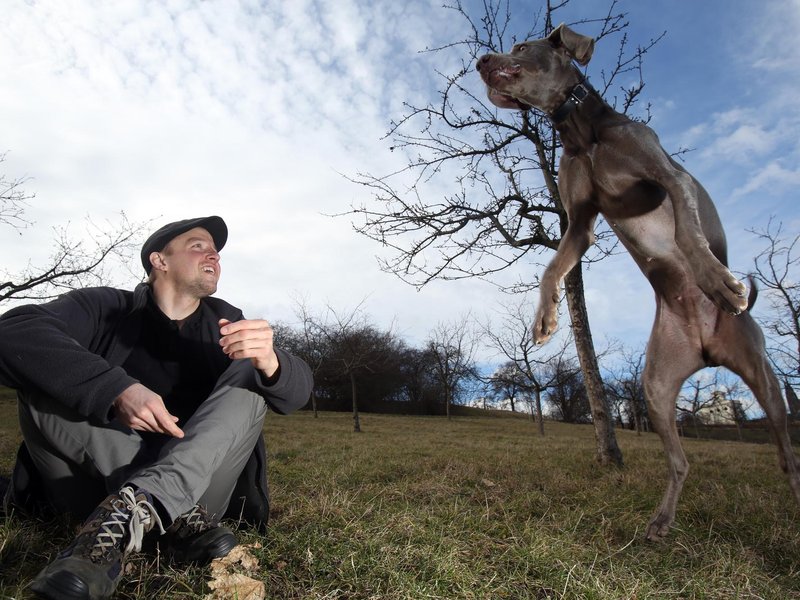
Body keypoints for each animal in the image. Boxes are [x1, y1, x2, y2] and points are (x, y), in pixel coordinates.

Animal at [476, 23, 800, 540]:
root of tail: (708, 350)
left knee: (787, 454)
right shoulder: (579, 223)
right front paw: (545, 319)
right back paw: (661, 521)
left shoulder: (668, 177)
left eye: (521, 47)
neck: (581, 133)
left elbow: (687, 231)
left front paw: (715, 278)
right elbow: (551, 267)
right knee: (681, 462)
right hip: (656, 386)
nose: (481, 61)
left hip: (763, 376)